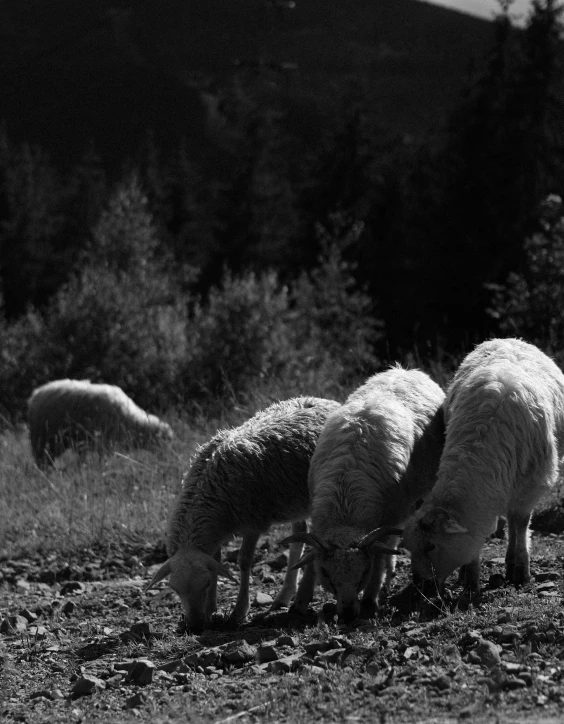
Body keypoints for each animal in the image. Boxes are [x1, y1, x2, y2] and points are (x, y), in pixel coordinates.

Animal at [27, 376, 173, 466]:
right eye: (163, 442)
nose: (166, 459)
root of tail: (35, 395)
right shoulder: (104, 441)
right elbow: (103, 460)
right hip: (44, 438)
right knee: (42, 460)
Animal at [143, 396, 342, 632]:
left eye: (206, 584)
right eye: (174, 588)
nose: (194, 626)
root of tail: (325, 400)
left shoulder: (253, 523)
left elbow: (244, 562)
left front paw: (239, 611)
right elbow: (216, 560)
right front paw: (211, 609)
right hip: (296, 502)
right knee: (299, 533)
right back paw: (285, 594)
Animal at [284, 368, 448, 624]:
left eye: (363, 574)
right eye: (327, 576)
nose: (348, 614)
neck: (345, 509)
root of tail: (405, 369)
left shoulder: (388, 516)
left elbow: (378, 556)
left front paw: (371, 598)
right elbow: (310, 560)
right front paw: (299, 603)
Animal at [404, 336, 564, 596]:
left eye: (430, 546)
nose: (420, 586)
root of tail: (510, 339)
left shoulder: (530, 487)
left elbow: (521, 523)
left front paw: (521, 571)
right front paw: (469, 580)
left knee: (513, 520)